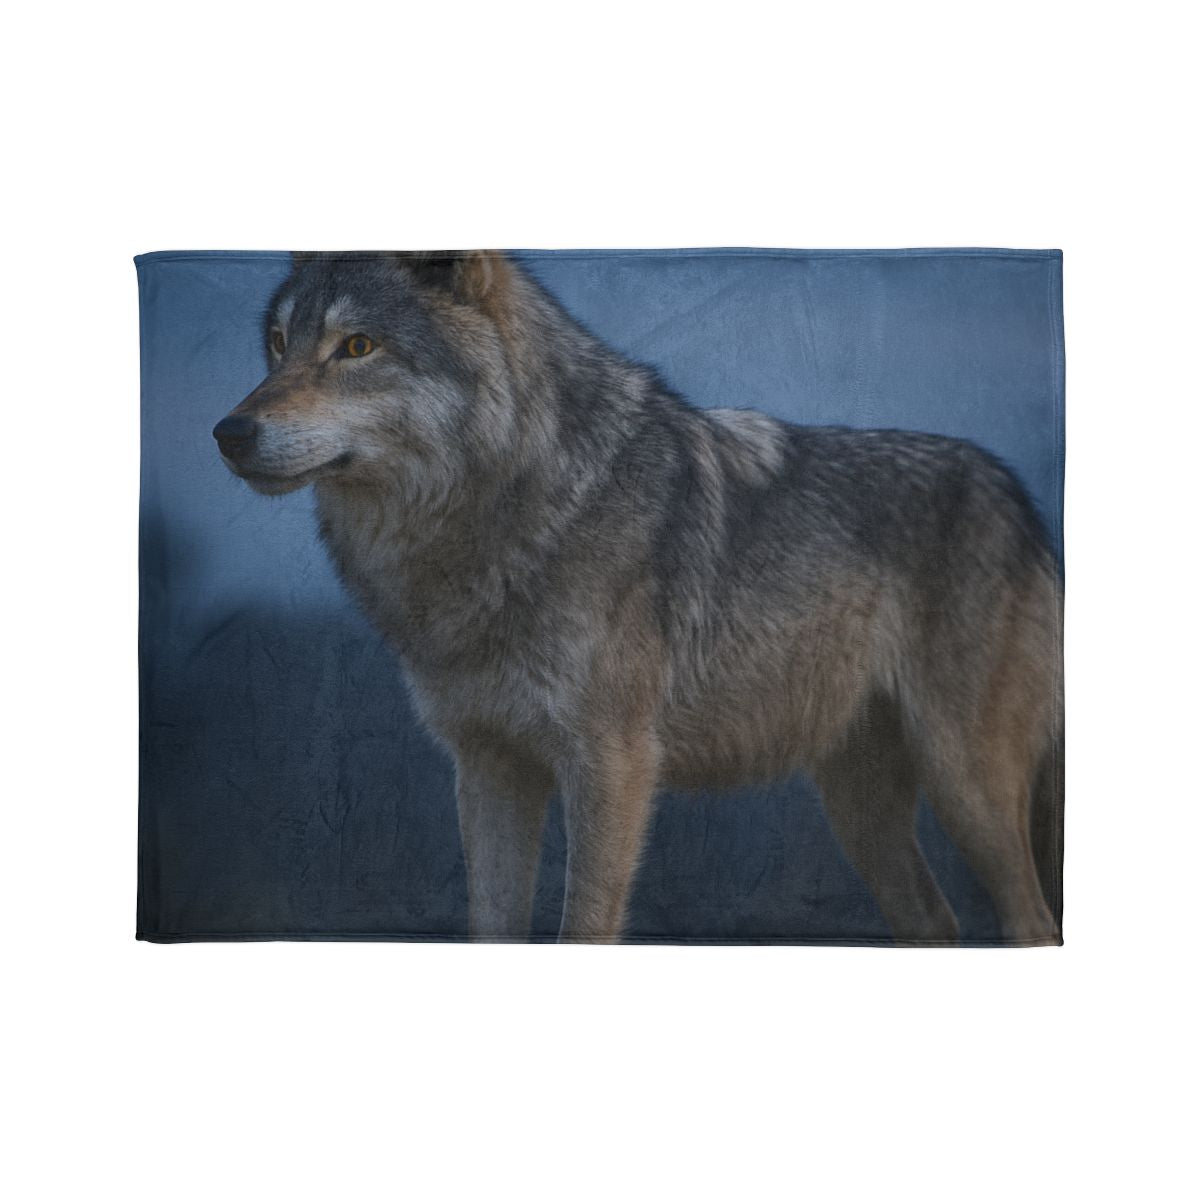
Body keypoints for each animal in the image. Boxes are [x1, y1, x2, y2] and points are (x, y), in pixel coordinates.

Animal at [213, 250, 1063, 945]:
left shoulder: (611, 766)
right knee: (939, 920)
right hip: (860, 809)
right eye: (279, 345)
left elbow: (583, 929)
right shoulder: (490, 767)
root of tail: (1018, 498)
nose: (228, 432)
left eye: (357, 347)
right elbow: (491, 926)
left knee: (1033, 921)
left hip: (968, 787)